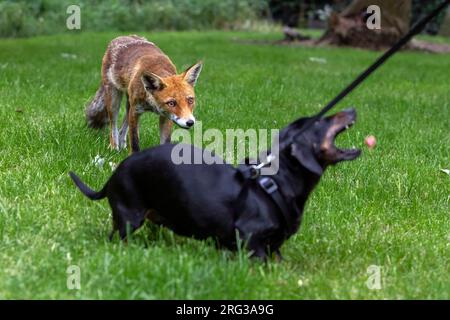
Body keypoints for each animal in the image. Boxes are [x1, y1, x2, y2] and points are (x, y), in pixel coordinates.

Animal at [70, 109, 360, 258]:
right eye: (323, 120)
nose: (352, 109)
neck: (274, 182)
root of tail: (113, 176)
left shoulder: (274, 247)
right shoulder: (250, 238)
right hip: (129, 218)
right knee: (115, 237)